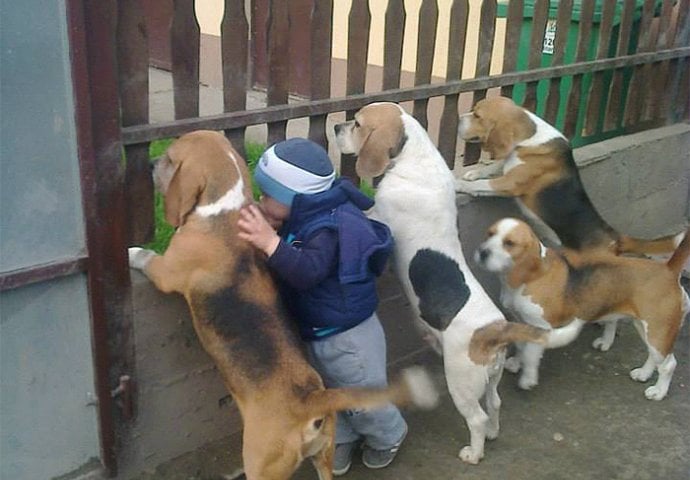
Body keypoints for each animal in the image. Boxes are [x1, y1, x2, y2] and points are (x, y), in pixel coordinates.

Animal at [332, 103, 548, 464]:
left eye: (358, 124)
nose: (336, 127)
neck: (416, 159)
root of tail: (494, 331)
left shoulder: (379, 216)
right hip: (490, 379)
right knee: (495, 404)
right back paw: (493, 433)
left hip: (461, 381)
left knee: (477, 417)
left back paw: (474, 452)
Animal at [476, 218, 684, 402]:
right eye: (489, 233)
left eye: (509, 243)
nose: (482, 252)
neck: (529, 278)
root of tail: (668, 270)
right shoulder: (520, 320)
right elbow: (521, 345)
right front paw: (516, 362)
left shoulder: (540, 326)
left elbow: (530, 353)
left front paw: (528, 378)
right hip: (646, 327)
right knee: (654, 355)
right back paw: (643, 373)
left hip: (657, 330)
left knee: (669, 364)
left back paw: (658, 391)